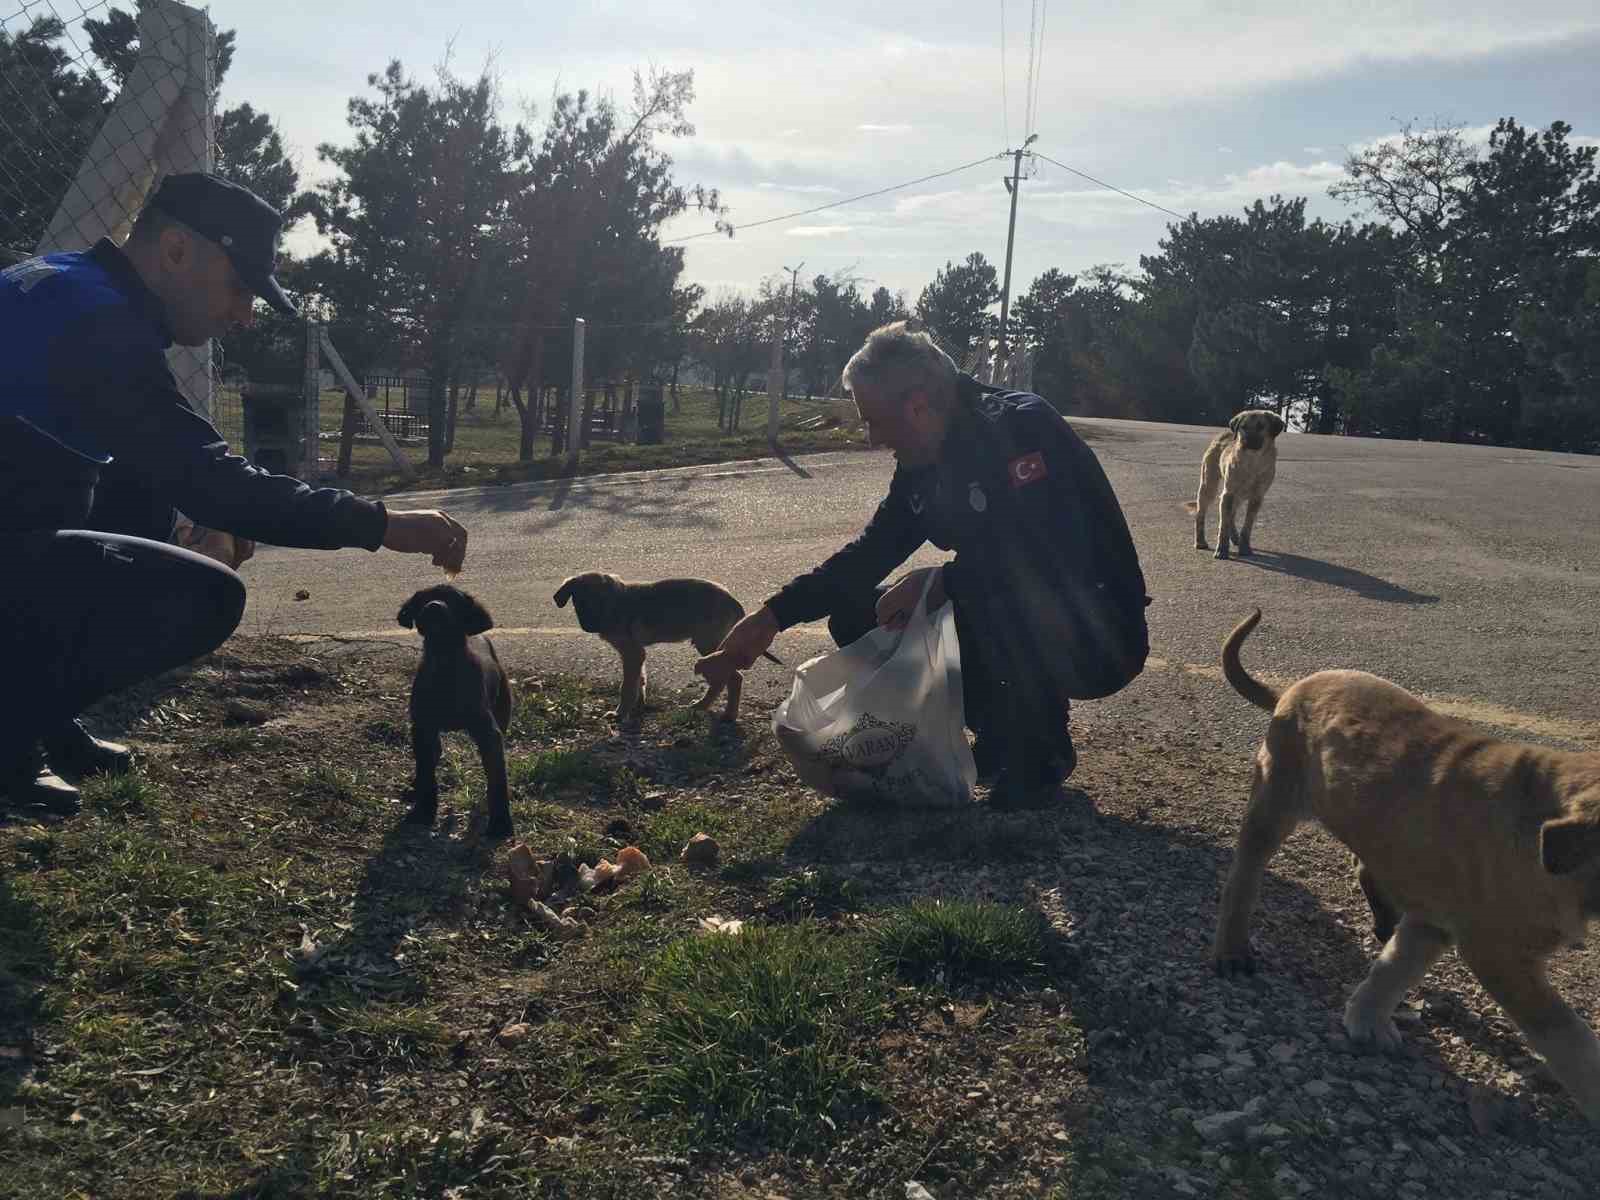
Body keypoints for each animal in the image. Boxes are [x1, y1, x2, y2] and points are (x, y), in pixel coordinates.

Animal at [395, 588, 512, 838]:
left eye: (454, 599)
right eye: (421, 598)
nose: (433, 606)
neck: (445, 667)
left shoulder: (489, 733)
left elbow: (497, 780)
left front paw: (500, 823)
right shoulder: (423, 728)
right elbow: (427, 774)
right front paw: (424, 812)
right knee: (430, 759)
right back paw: (415, 788)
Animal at [1190, 412, 1286, 563]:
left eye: (1261, 426)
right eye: (1243, 426)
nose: (1247, 440)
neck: (1253, 461)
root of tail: (1224, 434)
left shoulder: (1257, 497)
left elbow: (1247, 526)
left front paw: (1244, 547)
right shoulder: (1228, 493)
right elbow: (1223, 526)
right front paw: (1222, 550)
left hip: (1239, 496)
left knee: (1232, 515)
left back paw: (1235, 538)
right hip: (1209, 486)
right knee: (1201, 514)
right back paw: (1200, 541)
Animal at [1209, 611, 1600, 1126]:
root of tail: (1295, 688)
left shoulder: (1436, 924)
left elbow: (1394, 967)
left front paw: (1367, 1018)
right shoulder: (1497, 953)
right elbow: (1570, 1038)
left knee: (1367, 869)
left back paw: (1381, 920)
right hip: (1272, 808)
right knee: (1243, 879)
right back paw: (1232, 950)